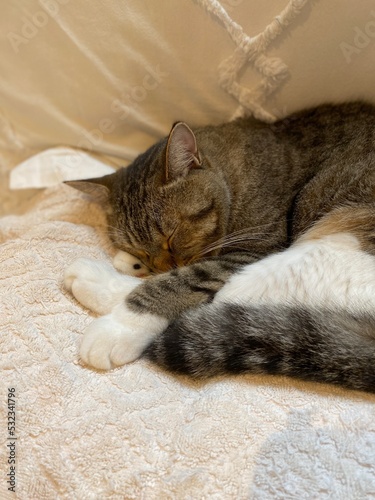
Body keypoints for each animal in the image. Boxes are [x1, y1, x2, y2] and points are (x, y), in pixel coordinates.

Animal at [64, 100, 375, 390]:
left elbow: (178, 283)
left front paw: (120, 325)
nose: (160, 265)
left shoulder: (253, 249)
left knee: (227, 297)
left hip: (327, 250)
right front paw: (132, 262)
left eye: (171, 236)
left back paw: (98, 285)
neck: (232, 176)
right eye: (140, 248)